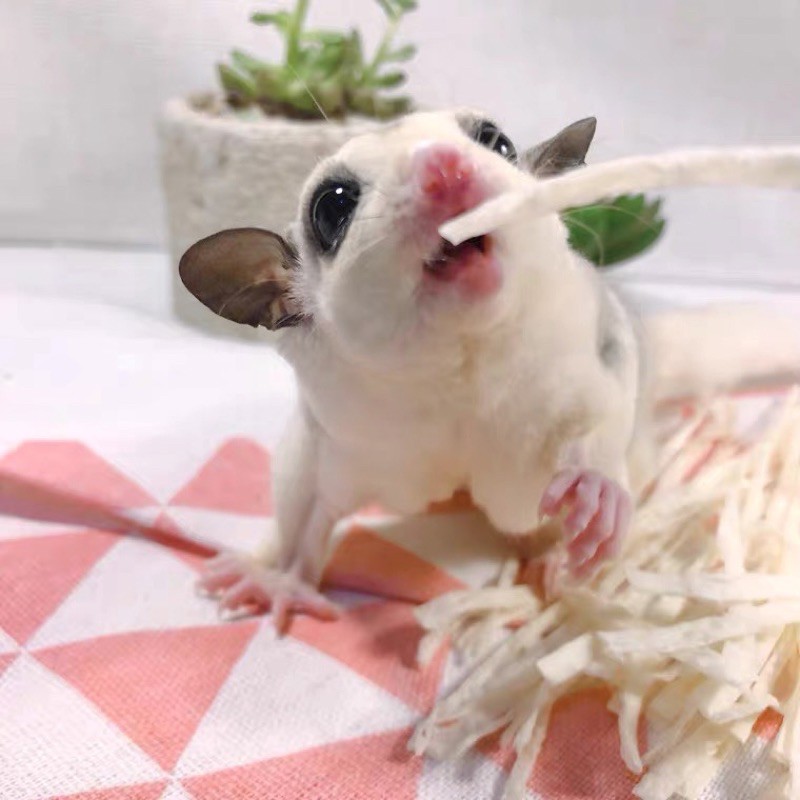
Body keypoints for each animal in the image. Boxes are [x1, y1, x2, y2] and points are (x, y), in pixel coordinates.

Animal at [178, 109, 656, 632]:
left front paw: (597, 488)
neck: (457, 362)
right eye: (332, 207)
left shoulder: (584, 335)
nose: (445, 166)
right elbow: (311, 509)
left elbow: (603, 402)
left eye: (497, 142)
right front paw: (283, 580)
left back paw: (554, 559)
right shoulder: (339, 433)